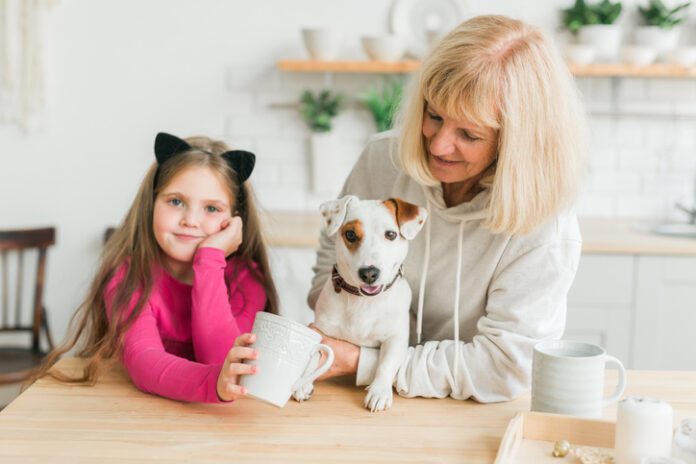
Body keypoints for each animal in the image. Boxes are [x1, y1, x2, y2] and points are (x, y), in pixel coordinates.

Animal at [290, 194, 426, 412]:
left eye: (391, 234)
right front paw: (303, 382)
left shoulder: (396, 338)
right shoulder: (320, 329)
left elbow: (386, 363)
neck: (364, 302)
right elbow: (315, 353)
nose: (369, 273)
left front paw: (379, 392)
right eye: (351, 235)